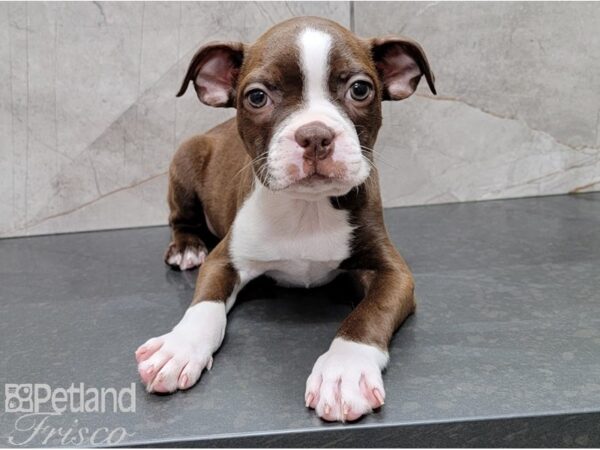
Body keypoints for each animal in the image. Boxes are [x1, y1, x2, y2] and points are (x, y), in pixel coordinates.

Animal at [136, 14, 436, 422]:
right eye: (257, 97)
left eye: (360, 90)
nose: (315, 135)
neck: (306, 208)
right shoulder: (224, 260)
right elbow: (205, 305)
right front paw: (180, 346)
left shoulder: (393, 273)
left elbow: (369, 313)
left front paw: (344, 370)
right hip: (186, 155)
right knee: (181, 218)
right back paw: (186, 248)